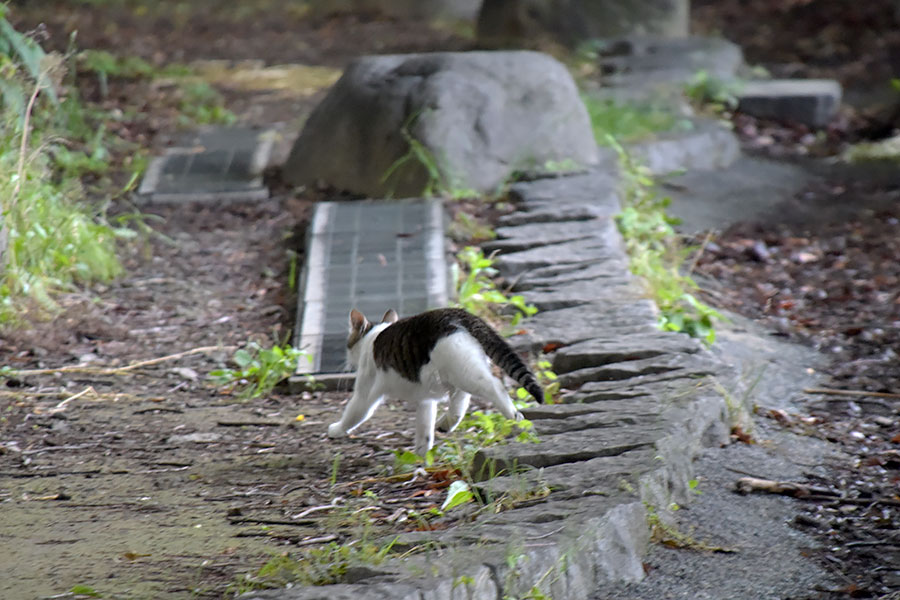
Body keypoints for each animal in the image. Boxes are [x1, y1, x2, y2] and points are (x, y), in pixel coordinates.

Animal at [328, 310, 544, 454]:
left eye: (348, 344)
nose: (347, 359)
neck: (372, 338)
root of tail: (459, 313)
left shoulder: (365, 391)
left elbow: (355, 413)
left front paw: (337, 429)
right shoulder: (426, 400)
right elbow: (425, 429)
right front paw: (421, 456)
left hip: (464, 371)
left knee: (495, 386)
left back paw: (514, 415)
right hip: (460, 372)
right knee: (459, 407)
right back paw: (445, 424)